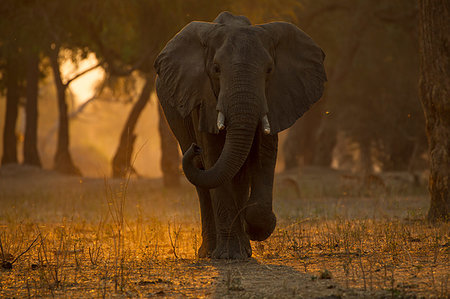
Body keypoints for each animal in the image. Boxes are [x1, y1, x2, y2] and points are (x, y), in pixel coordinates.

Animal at [154, 11, 324, 260]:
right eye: (216, 69)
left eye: (269, 70)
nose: (195, 149)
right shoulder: (203, 99)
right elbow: (214, 156)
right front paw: (229, 255)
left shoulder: (275, 97)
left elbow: (264, 155)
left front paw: (256, 228)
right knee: (203, 183)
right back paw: (209, 252)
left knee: (238, 175)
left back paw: (245, 246)